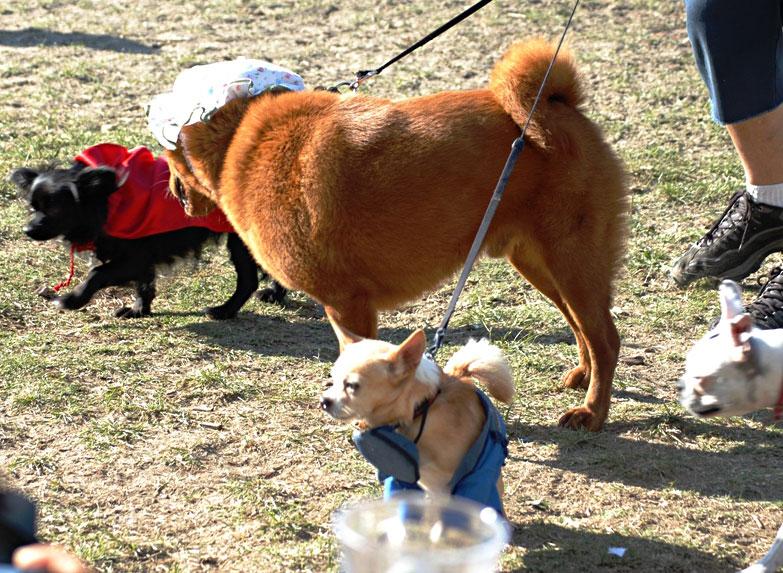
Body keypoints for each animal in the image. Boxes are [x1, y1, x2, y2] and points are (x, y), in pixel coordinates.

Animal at [11, 143, 286, 319]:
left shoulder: (132, 258)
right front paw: (138, 310)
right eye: (33, 206)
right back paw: (274, 295)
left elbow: (96, 273)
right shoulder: (141, 256)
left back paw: (224, 311)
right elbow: (145, 284)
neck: (109, 200)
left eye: (54, 208)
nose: (27, 230)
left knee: (249, 280)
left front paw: (72, 300)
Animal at [160, 39, 629, 430]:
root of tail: (557, 104)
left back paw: (593, 411)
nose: (169, 189)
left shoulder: (347, 304)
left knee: (606, 337)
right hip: (541, 265)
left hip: (571, 263)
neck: (241, 141)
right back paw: (583, 375)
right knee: (581, 327)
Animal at [320, 320, 514, 512]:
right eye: (332, 379)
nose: (324, 401)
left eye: (352, 386)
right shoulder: (403, 479)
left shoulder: (468, 481)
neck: (419, 411)